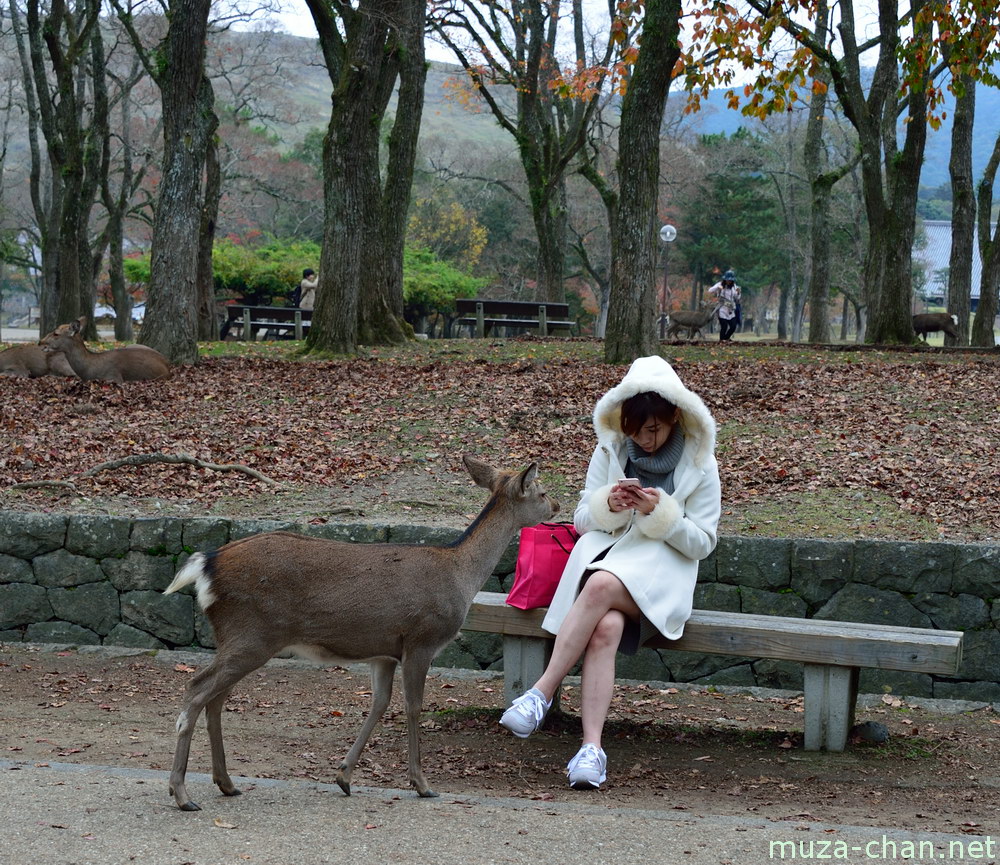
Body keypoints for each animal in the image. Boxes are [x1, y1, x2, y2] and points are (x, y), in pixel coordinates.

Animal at [162, 455, 558, 811]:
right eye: (540, 490)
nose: (556, 504)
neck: (462, 575)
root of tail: (206, 565)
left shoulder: (383, 652)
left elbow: (379, 703)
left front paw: (344, 776)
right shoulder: (421, 639)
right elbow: (413, 706)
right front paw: (422, 784)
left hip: (236, 637)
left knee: (215, 699)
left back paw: (226, 783)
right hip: (252, 634)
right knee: (196, 689)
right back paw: (182, 794)